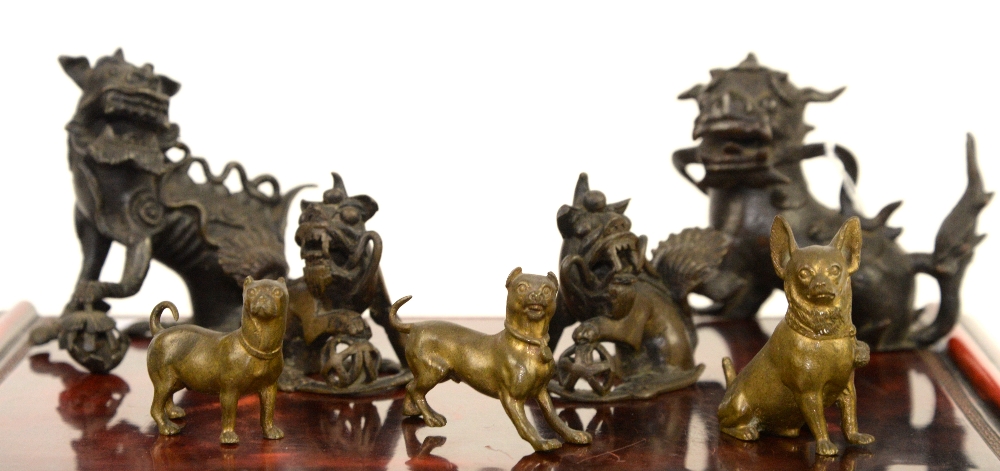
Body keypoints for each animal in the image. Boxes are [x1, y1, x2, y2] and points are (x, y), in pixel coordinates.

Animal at [148, 274, 290, 444]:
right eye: (252, 291)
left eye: (277, 292)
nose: (262, 297)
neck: (257, 350)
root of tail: (158, 332)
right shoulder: (229, 391)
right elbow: (229, 415)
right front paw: (228, 437)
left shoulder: (269, 387)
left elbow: (268, 413)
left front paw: (271, 431)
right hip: (164, 382)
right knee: (155, 408)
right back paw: (167, 427)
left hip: (176, 380)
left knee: (167, 398)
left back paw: (173, 413)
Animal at [388, 268, 592, 452]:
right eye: (521, 287)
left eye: (547, 289)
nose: (536, 295)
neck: (529, 345)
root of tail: (414, 326)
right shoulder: (511, 398)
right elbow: (525, 425)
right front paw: (541, 443)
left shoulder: (541, 391)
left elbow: (554, 418)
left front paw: (574, 435)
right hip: (434, 371)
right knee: (415, 390)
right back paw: (431, 418)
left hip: (439, 373)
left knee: (411, 386)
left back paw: (411, 411)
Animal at [720, 218, 876, 458]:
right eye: (804, 273)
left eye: (835, 270)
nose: (820, 284)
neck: (825, 335)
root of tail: (728, 391)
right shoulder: (808, 394)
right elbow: (819, 421)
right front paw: (825, 445)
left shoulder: (848, 389)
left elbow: (850, 418)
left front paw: (856, 437)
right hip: (738, 404)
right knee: (725, 425)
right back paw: (746, 431)